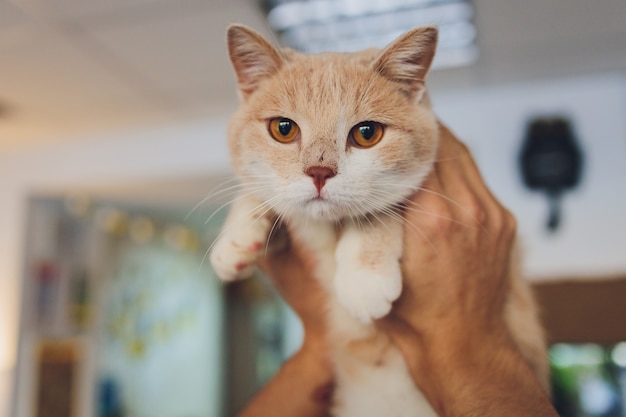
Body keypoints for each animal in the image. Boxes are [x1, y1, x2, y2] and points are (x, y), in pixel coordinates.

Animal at [207, 24, 544, 414]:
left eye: (366, 133)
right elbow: (259, 191)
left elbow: (378, 210)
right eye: (284, 129)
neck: (328, 229)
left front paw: (364, 276)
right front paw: (236, 238)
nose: (319, 172)